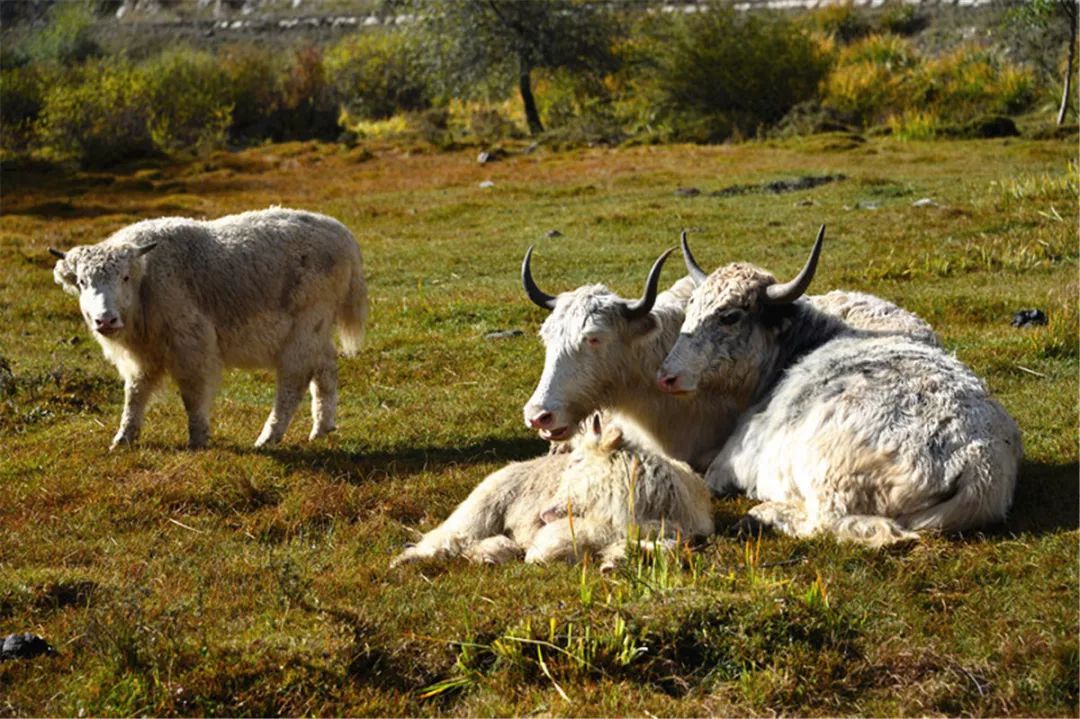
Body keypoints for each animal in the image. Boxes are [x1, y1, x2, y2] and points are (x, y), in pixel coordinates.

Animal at [50, 204, 367, 444]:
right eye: (82, 282)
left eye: (125, 277)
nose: (105, 319)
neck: (148, 279)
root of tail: (342, 234)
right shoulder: (144, 357)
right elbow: (135, 393)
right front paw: (123, 438)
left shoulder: (191, 346)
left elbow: (191, 393)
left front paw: (198, 438)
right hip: (317, 331)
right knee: (325, 367)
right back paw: (322, 428)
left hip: (304, 329)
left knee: (294, 379)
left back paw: (268, 437)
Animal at [393, 414, 712, 570]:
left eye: (578, 462)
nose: (543, 513)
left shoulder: (682, 533)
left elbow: (664, 548)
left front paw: (613, 563)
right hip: (479, 511)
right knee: (448, 538)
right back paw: (405, 561)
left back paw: (490, 556)